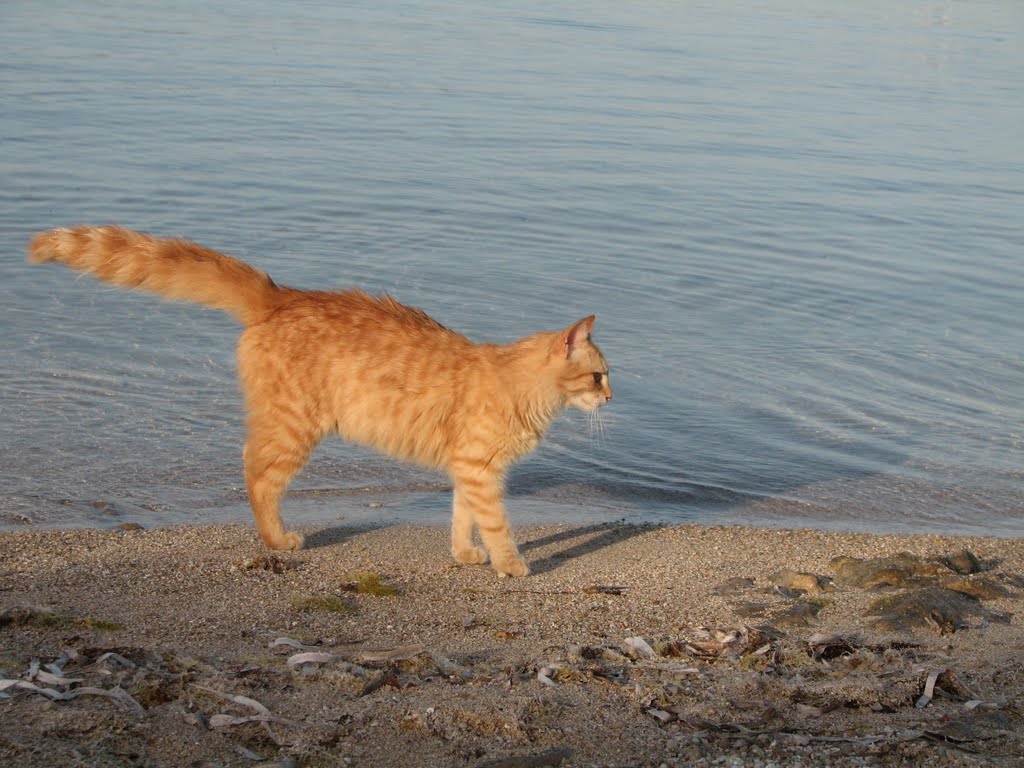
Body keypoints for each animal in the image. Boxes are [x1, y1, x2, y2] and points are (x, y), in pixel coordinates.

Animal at [28, 227, 610, 577]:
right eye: (599, 374)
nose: (611, 395)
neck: (515, 383)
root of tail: (283, 294)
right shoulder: (480, 468)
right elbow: (496, 525)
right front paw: (510, 564)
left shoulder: (471, 470)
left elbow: (462, 515)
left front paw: (465, 554)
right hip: (295, 428)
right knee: (256, 474)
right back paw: (277, 539)